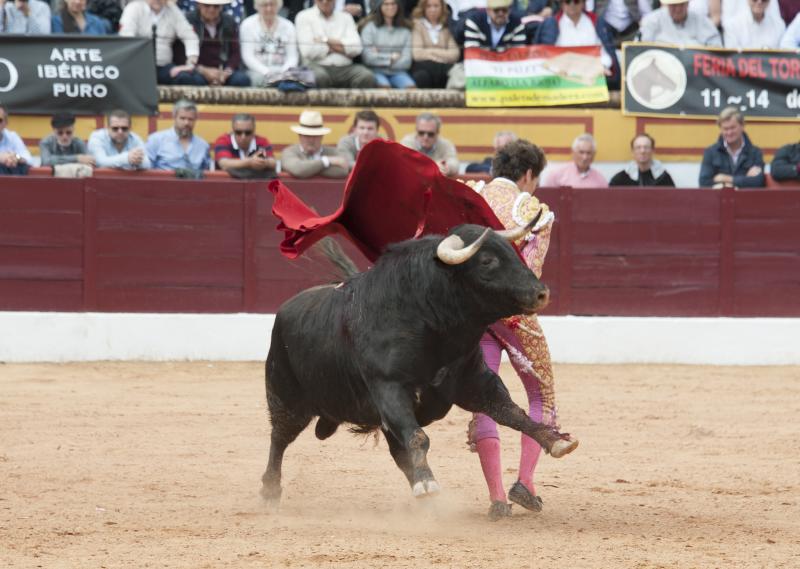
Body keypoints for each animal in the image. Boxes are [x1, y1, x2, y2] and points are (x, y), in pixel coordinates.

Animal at [266, 220, 580, 504]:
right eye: (487, 261)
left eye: (512, 251)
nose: (541, 292)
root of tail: (285, 310)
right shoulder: (390, 388)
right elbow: (418, 437)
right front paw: (428, 483)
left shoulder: (475, 382)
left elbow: (514, 414)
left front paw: (556, 440)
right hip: (286, 399)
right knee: (279, 438)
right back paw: (270, 491)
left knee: (398, 452)